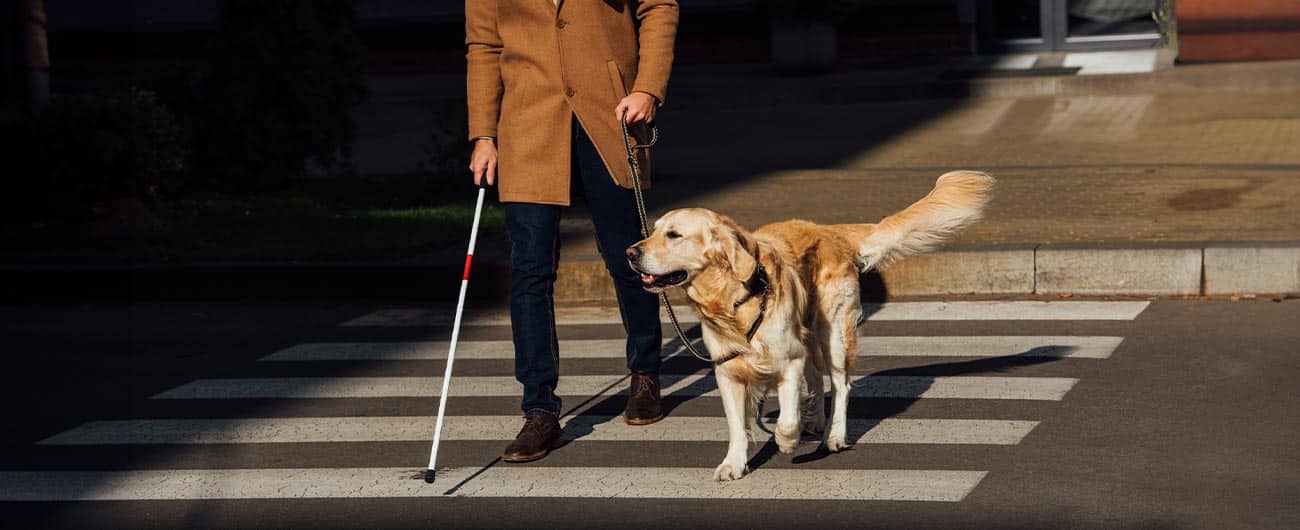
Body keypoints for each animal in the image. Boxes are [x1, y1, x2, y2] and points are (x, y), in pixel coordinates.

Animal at [624, 170, 987, 480]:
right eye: (653, 231)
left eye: (674, 235)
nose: (629, 252)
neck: (734, 302)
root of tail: (828, 231)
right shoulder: (728, 372)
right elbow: (737, 426)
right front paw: (733, 463)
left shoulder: (789, 359)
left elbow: (786, 418)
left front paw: (787, 440)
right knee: (816, 378)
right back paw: (815, 421)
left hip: (833, 333)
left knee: (840, 385)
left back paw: (833, 435)